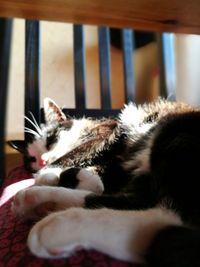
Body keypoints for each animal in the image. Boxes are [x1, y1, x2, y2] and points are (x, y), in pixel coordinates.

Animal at [9, 98, 200, 267]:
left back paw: (58, 225)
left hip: (170, 133)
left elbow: (77, 153)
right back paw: (39, 201)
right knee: (137, 203)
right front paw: (83, 178)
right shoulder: (118, 165)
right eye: (32, 159)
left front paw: (49, 174)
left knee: (167, 213)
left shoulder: (108, 133)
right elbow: (101, 179)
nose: (42, 160)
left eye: (50, 139)